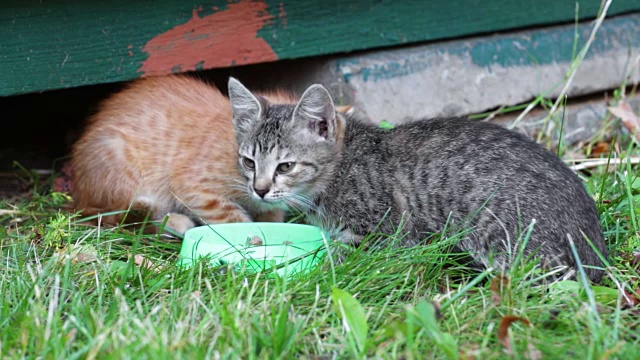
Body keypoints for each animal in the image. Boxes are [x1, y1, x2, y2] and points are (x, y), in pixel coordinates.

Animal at [70, 75, 290, 233]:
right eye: (251, 162)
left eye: (285, 166)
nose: (262, 189)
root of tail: (80, 197)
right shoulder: (192, 185)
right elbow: (231, 219)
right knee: (119, 218)